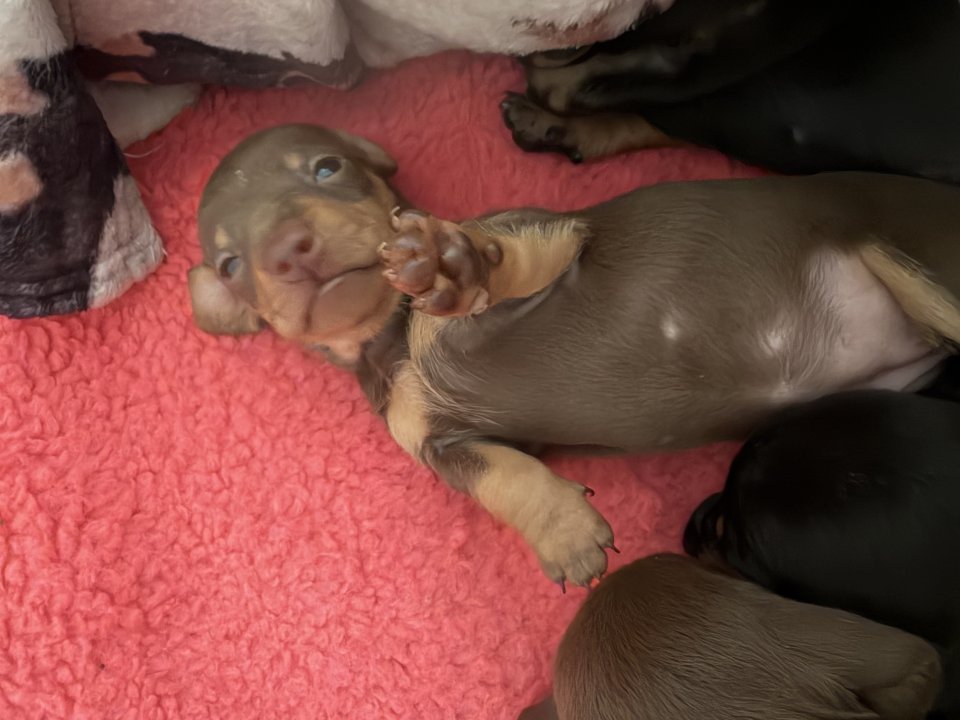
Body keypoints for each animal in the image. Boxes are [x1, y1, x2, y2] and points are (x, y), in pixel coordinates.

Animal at [187, 123, 960, 588]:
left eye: (326, 168)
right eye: (229, 264)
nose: (287, 250)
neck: (393, 332)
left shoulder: (542, 233)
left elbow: (503, 256)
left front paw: (452, 266)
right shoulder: (444, 446)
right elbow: (500, 478)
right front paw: (565, 534)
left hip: (918, 262)